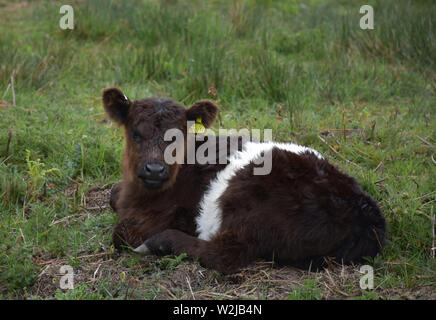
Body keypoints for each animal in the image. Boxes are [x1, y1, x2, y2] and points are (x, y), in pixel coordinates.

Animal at [104, 87, 386, 276]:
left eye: (178, 136)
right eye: (135, 133)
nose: (154, 170)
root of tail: (364, 209)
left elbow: (121, 232)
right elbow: (112, 194)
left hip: (248, 201)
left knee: (225, 256)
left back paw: (158, 243)